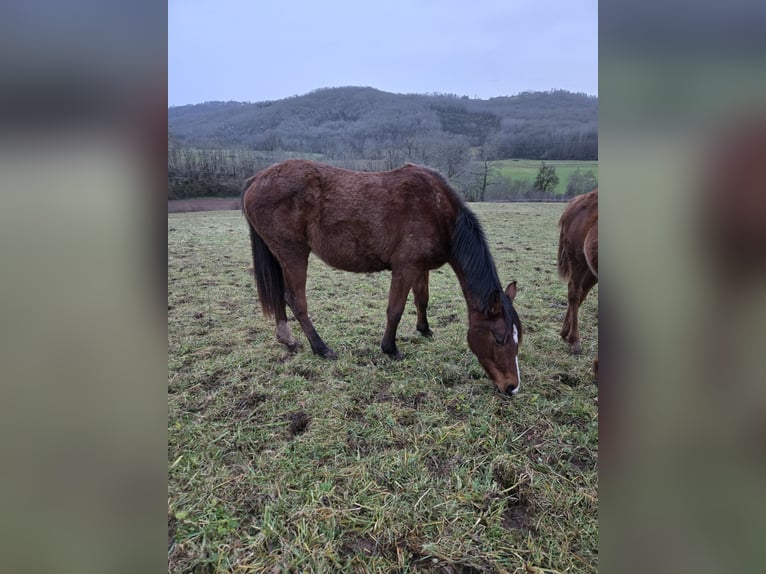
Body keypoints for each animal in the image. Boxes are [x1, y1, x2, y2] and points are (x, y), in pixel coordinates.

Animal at [242, 159, 523, 395]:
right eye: (500, 338)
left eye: (517, 336)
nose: (512, 387)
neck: (438, 211)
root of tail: (256, 179)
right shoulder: (405, 268)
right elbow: (395, 309)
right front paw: (390, 348)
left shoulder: (420, 268)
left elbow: (422, 300)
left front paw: (424, 329)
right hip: (294, 254)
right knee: (296, 301)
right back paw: (321, 348)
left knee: (280, 297)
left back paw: (288, 340)